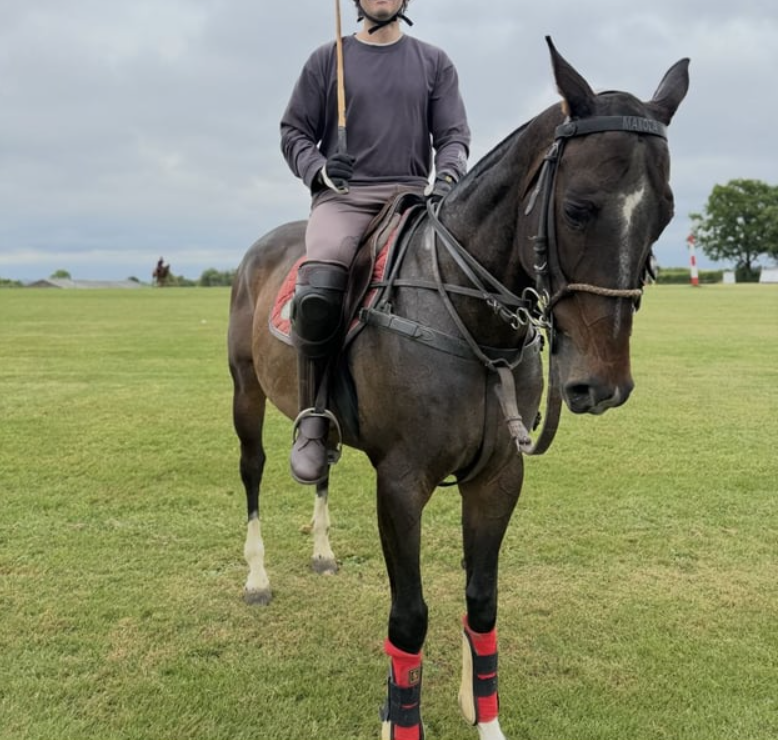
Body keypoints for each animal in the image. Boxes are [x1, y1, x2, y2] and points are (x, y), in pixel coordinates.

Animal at [228, 38, 689, 740]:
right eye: (578, 207)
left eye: (663, 214)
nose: (601, 385)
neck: (474, 323)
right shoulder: (402, 480)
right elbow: (409, 617)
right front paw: (399, 717)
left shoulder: (498, 475)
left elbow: (482, 600)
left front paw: (482, 712)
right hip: (246, 393)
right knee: (253, 469)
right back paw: (257, 576)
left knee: (323, 465)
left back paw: (324, 550)